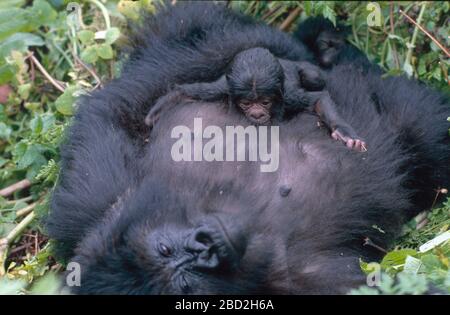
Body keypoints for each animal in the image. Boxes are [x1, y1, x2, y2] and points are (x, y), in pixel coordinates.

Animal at [146, 47, 368, 152]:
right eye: (246, 103)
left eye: (265, 102)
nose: (257, 113)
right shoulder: (221, 90)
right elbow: (189, 91)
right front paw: (155, 113)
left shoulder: (288, 98)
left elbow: (318, 99)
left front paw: (345, 134)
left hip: (309, 71)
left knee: (315, 78)